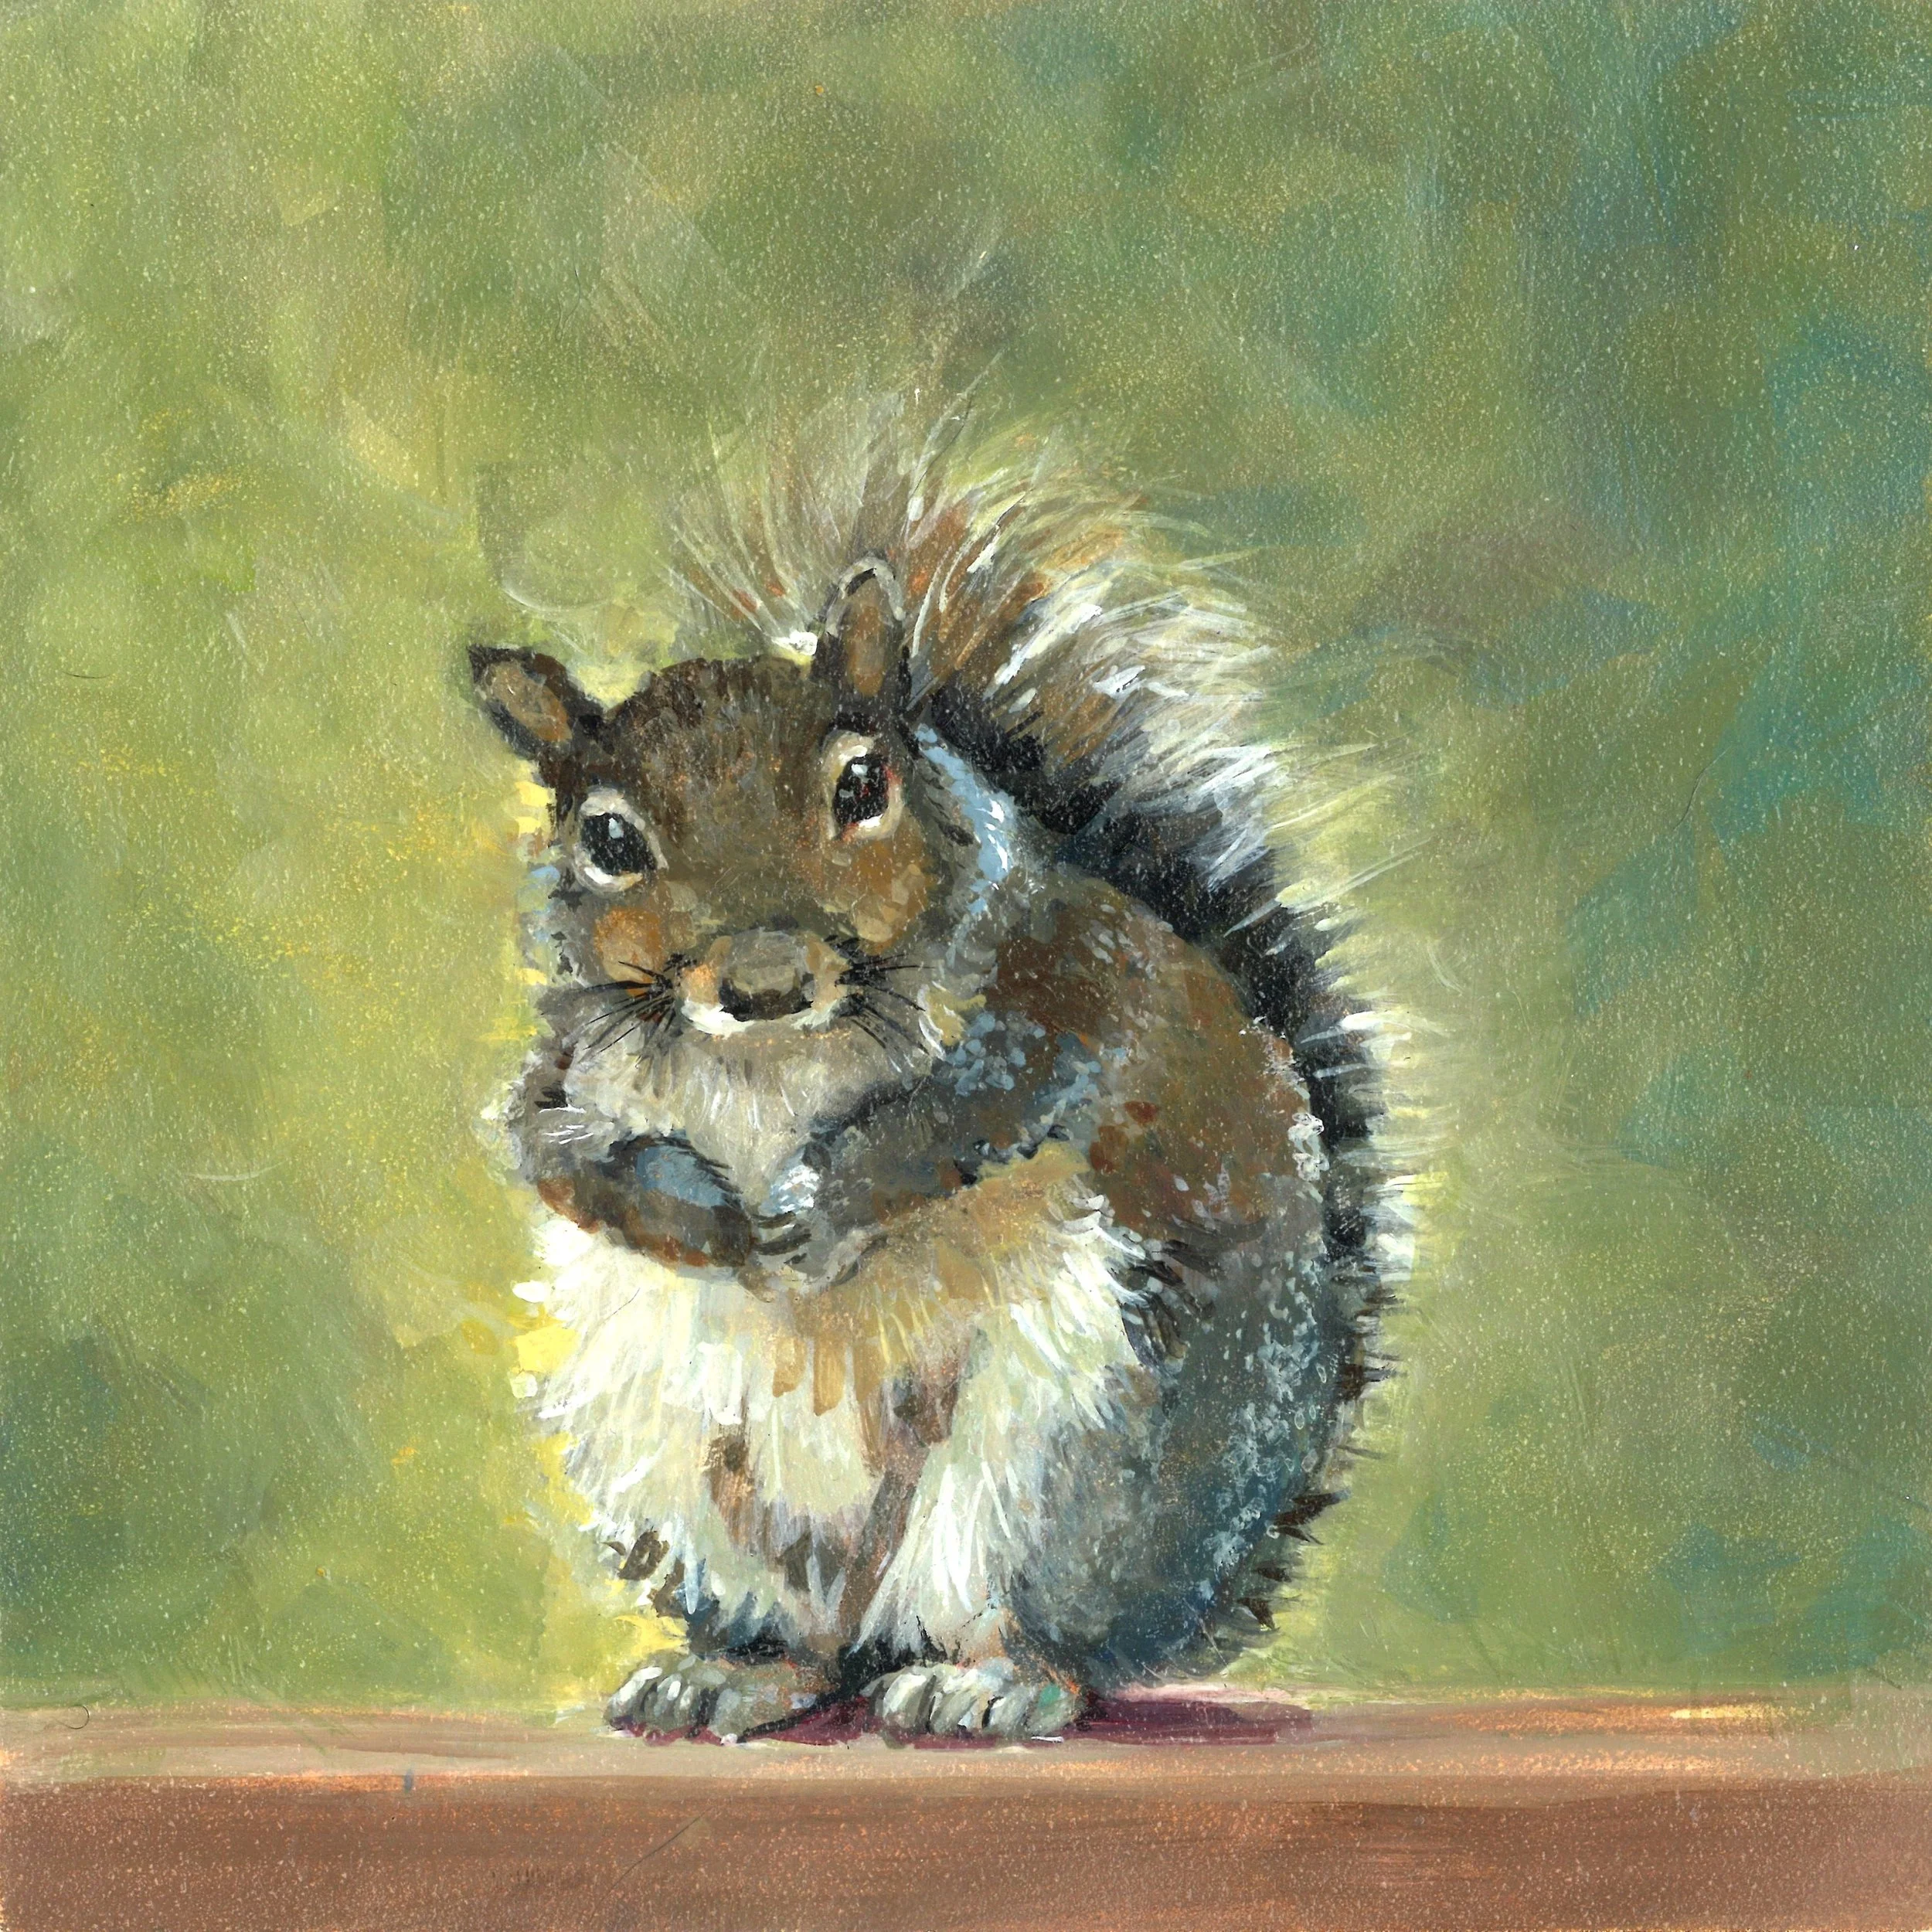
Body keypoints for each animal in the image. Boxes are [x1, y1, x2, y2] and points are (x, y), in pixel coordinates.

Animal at [471, 396, 1391, 1742]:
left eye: (864, 784)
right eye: (606, 839)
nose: (763, 980)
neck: (772, 1062)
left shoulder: (1071, 1000)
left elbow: (962, 1115)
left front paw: (819, 1205)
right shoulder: (568, 1068)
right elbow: (558, 1159)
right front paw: (712, 1219)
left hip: (1073, 1467)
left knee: (1034, 1623)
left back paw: (994, 1681)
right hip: (683, 1474)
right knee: (807, 1644)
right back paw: (732, 1673)